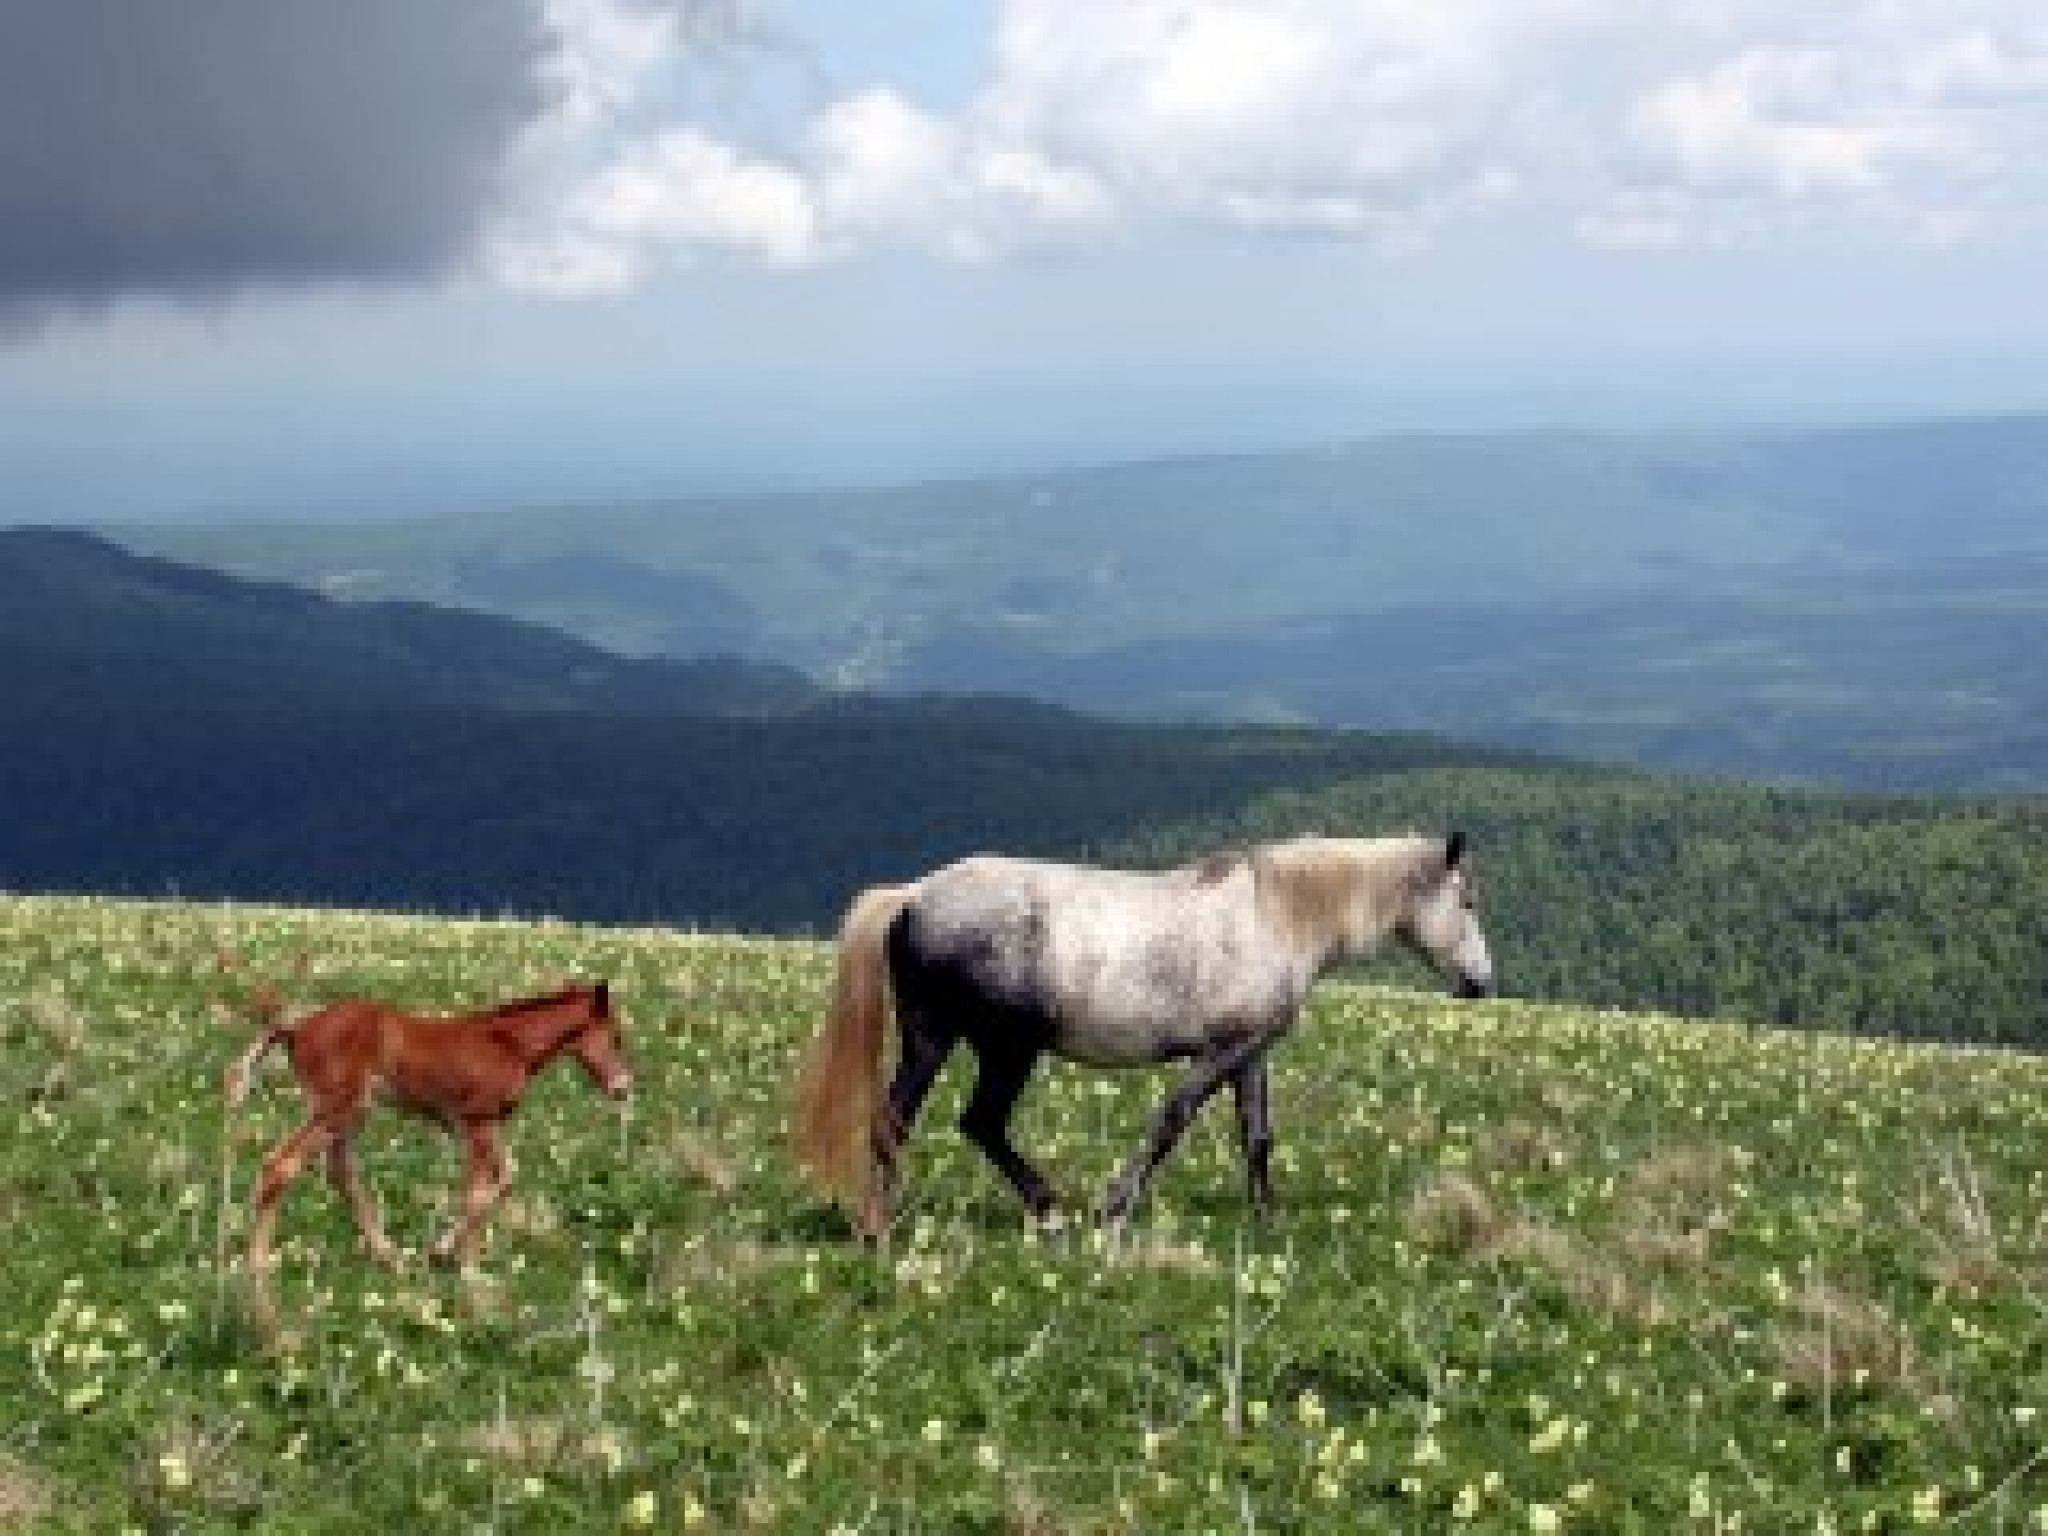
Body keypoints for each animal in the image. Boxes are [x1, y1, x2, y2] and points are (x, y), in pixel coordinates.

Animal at [790, 831, 1499, 1236]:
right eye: (1467, 901)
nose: (1481, 983)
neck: (1276, 912)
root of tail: (913, 895)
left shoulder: (1251, 1052)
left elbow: (1257, 1137)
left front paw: (1266, 1220)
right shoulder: (1221, 1050)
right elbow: (1172, 1118)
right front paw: (1116, 1206)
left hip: (934, 1038)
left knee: (901, 1120)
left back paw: (883, 1224)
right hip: (1007, 1049)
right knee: (978, 1121)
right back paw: (1044, 1211)